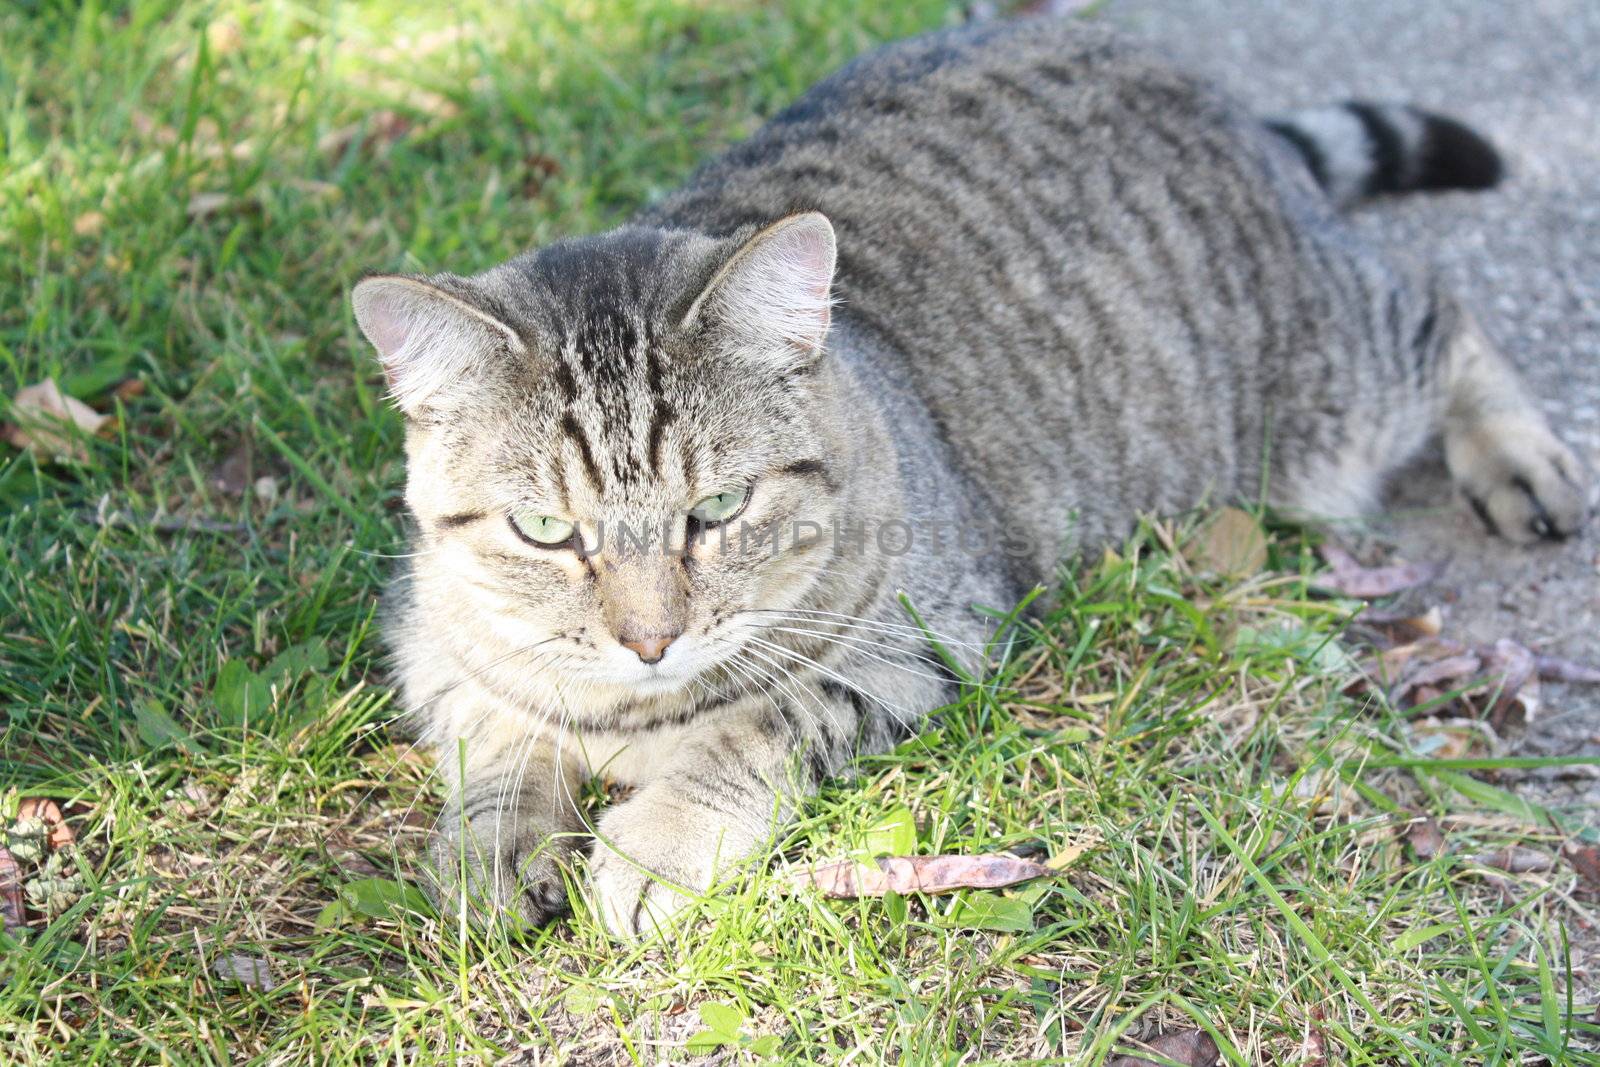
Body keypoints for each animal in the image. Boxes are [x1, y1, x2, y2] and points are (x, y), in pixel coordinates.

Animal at [350, 14, 1587, 934]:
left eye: (719, 508)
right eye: (544, 530)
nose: (648, 637)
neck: (635, 709)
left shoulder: (914, 642)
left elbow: (756, 725)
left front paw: (654, 844)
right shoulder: (435, 648)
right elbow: (500, 741)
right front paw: (496, 845)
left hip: (1328, 398)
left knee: (1440, 306)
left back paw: (1526, 462)